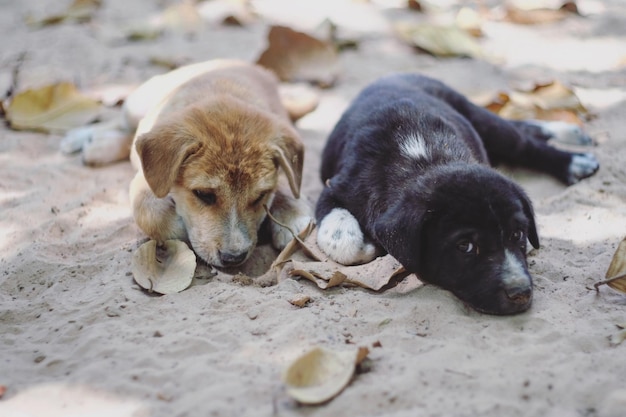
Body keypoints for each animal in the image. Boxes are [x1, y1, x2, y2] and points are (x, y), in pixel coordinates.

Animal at [125, 60, 312, 268]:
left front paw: (291, 215)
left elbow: (287, 183)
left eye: (260, 196)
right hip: (134, 106)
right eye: (204, 194)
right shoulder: (146, 181)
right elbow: (149, 210)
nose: (233, 258)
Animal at [314, 74, 596, 316]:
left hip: (479, 117)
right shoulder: (336, 187)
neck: (424, 161)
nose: (521, 293)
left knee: (524, 143)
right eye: (465, 247)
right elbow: (343, 241)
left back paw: (573, 156)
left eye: (518, 234)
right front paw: (365, 244)